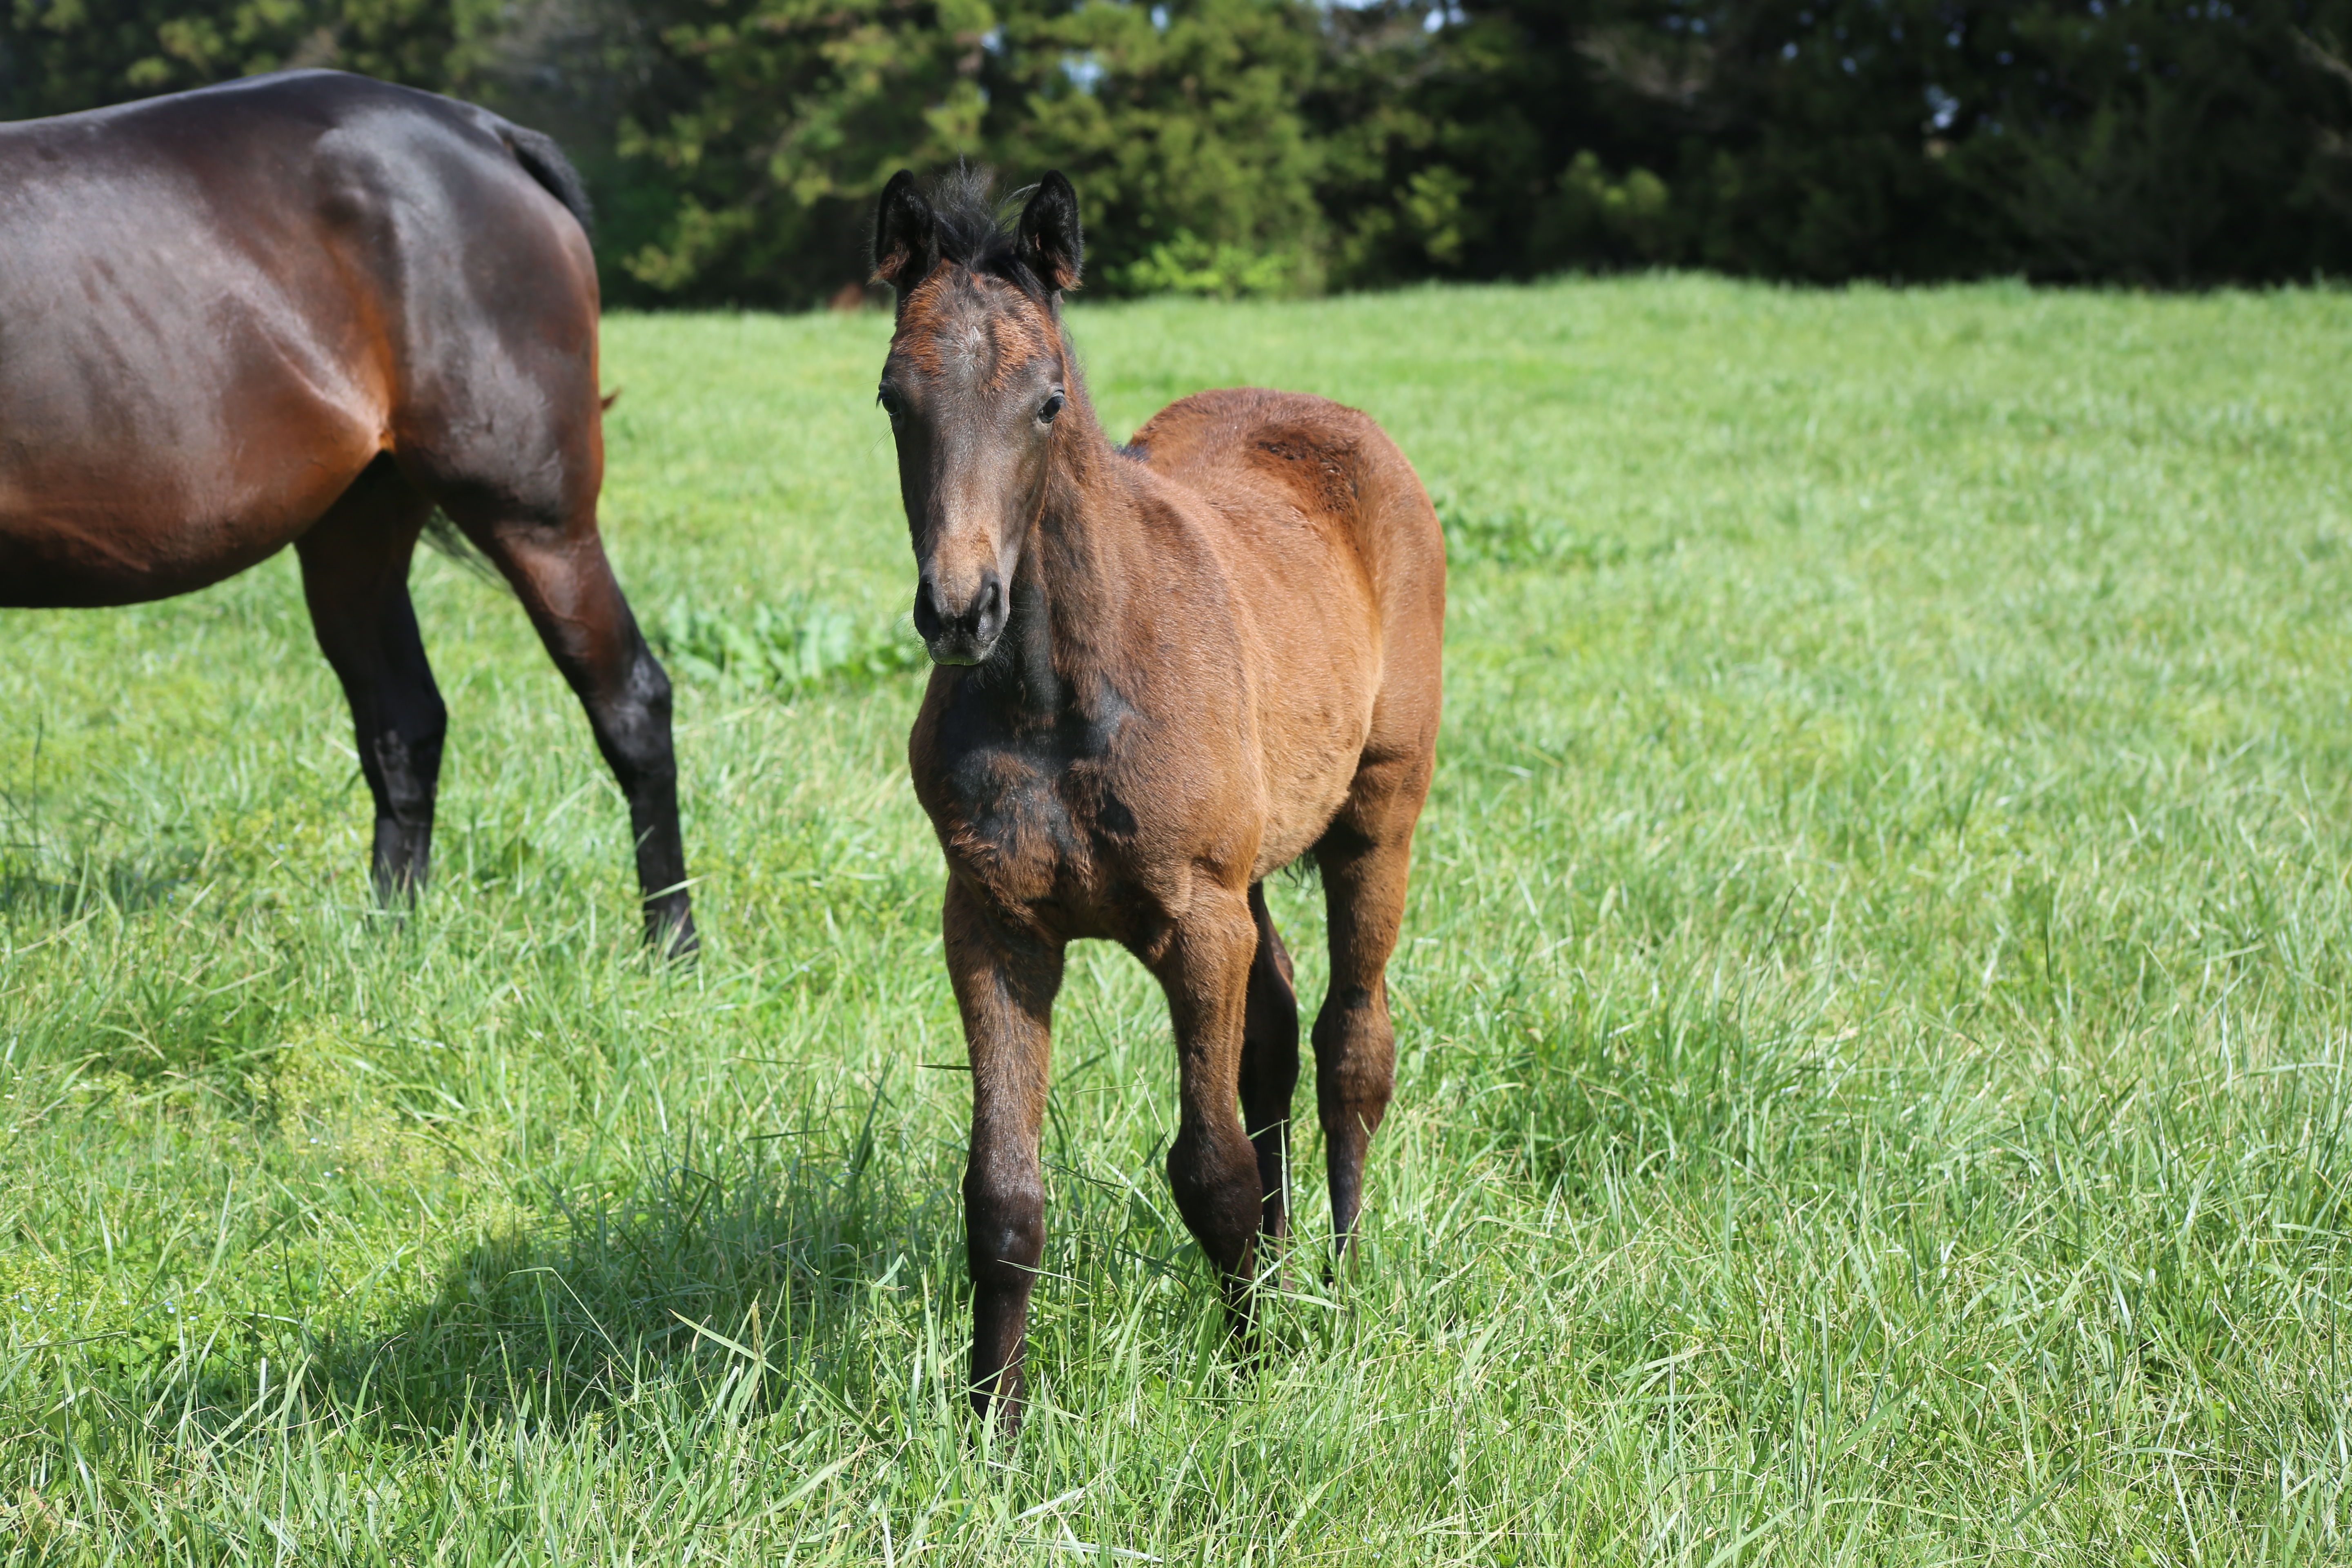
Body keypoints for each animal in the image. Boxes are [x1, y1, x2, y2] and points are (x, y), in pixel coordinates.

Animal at [0, 67, 691, 949]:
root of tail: (485, 134)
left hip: (536, 519)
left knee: (630, 703)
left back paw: (672, 947)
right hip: (358, 529)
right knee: (405, 725)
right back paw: (388, 942)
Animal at [875, 169, 1439, 1420]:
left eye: (1046, 401)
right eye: (892, 398)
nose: (959, 610)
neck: (1060, 694)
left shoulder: (1194, 919)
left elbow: (1208, 1166)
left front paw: (1253, 1374)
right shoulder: (992, 924)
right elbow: (1002, 1192)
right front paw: (991, 1424)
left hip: (1376, 814)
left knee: (1349, 1041)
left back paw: (1341, 1278)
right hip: (1255, 868)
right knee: (1274, 1032)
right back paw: (1288, 1264)